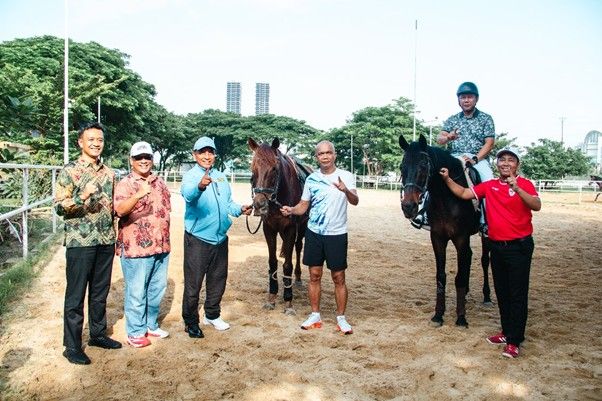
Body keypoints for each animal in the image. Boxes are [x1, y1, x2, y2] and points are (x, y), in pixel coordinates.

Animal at [246, 136, 310, 314]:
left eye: (274, 169)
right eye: (252, 169)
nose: (259, 205)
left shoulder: (290, 229)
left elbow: (287, 264)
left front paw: (288, 301)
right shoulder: (269, 228)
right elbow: (272, 262)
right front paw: (272, 297)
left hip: (302, 227)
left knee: (298, 247)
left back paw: (298, 278)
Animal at [396, 133, 490, 326]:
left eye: (423, 166)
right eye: (402, 166)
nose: (408, 206)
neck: (447, 197)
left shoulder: (461, 238)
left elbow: (459, 277)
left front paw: (461, 317)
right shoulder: (437, 238)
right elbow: (441, 276)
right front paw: (438, 314)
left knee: (484, 261)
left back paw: (487, 297)